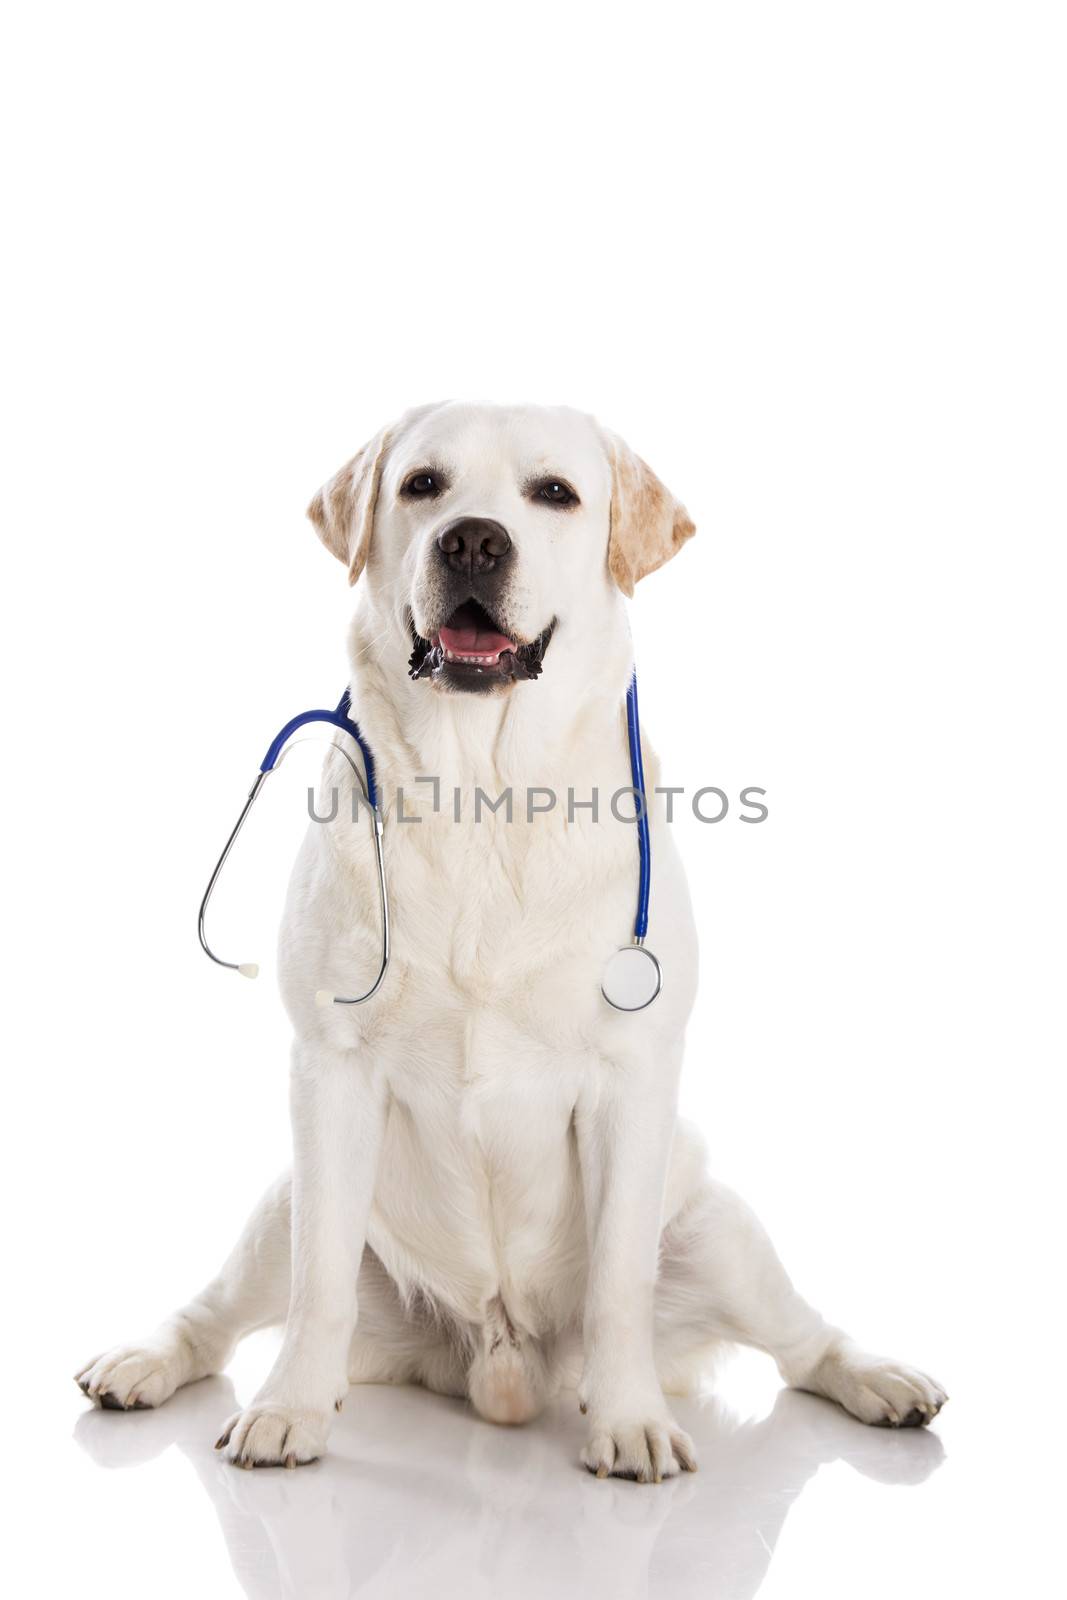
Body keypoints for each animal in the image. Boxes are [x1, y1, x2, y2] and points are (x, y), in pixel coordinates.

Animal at [75, 400, 947, 1472]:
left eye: (554, 494)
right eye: (422, 485)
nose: (473, 541)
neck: (481, 793)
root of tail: (496, 1362)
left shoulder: (631, 1078)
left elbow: (619, 1283)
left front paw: (630, 1423)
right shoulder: (329, 1073)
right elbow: (317, 1286)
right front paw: (288, 1410)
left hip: (717, 1228)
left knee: (801, 1338)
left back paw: (879, 1380)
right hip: (284, 1200)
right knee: (226, 1308)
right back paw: (147, 1363)